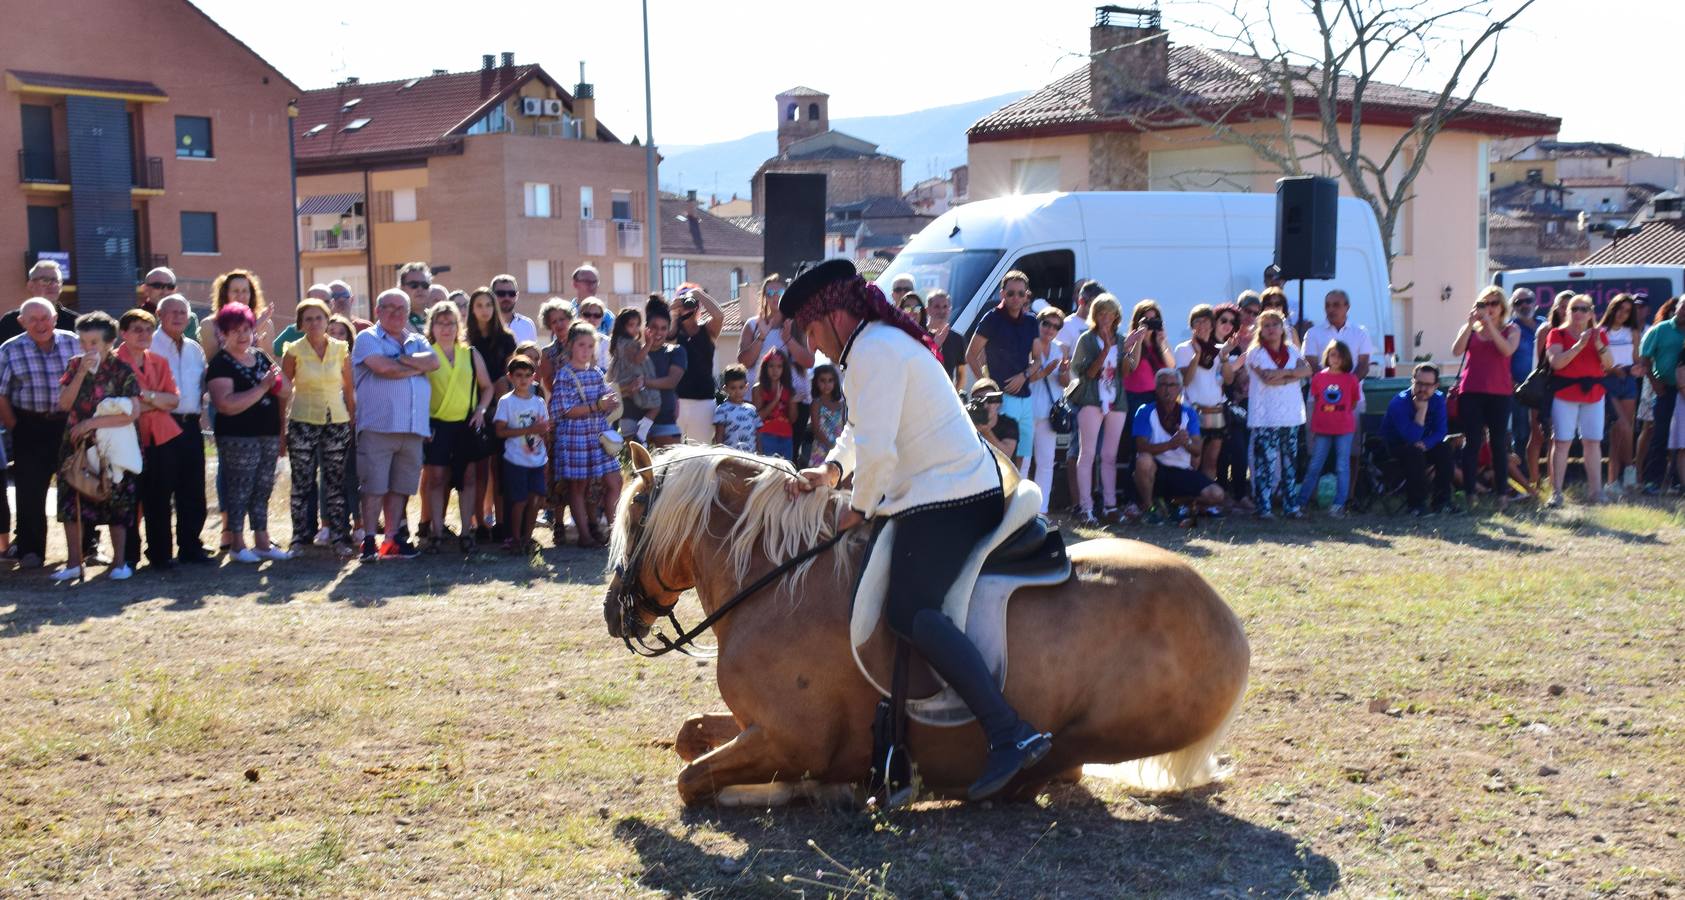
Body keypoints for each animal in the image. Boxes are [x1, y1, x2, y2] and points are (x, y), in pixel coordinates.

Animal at [606, 444, 1253, 812]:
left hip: (1095, 728)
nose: (615, 612)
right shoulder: (755, 725)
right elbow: (689, 735)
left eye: (635, 512)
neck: (776, 579)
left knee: (1050, 766)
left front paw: (806, 789)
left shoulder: (795, 740)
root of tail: (1227, 624)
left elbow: (691, 779)